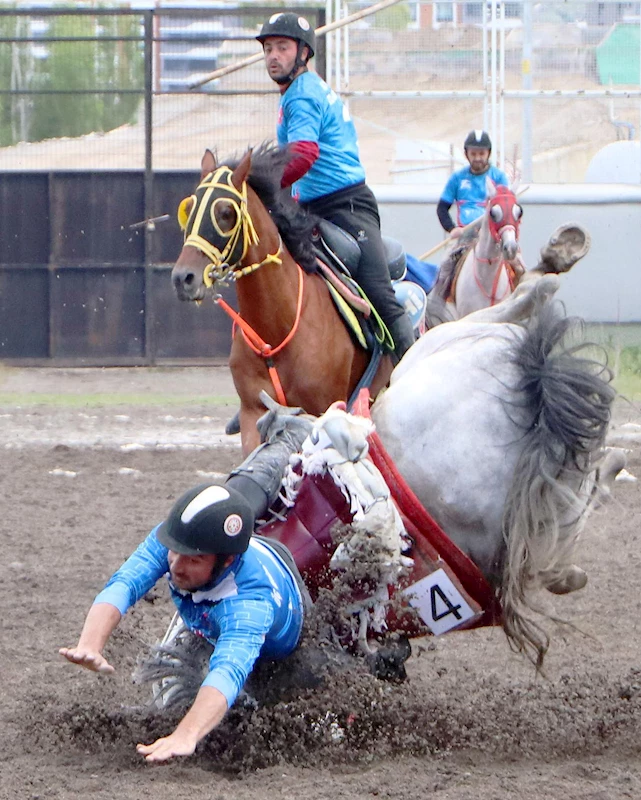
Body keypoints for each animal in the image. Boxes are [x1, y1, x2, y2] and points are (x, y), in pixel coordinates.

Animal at [170, 146, 392, 454]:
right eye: (189, 209)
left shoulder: (323, 409)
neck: (276, 330)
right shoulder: (254, 412)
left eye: (226, 212)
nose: (183, 278)